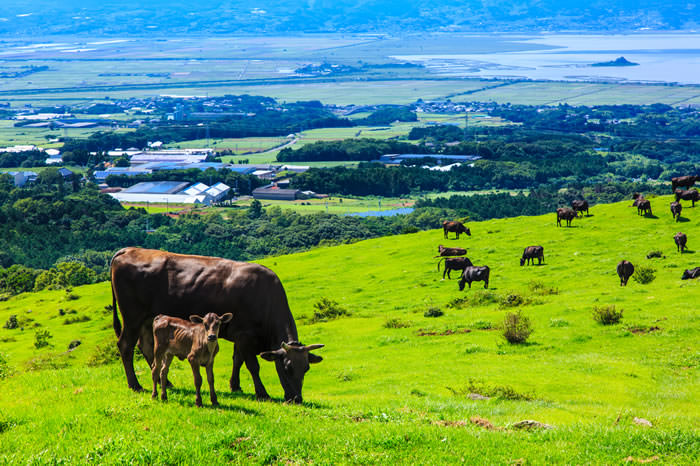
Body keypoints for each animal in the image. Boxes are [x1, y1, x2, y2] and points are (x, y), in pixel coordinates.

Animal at [110, 248, 324, 404]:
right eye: (287, 368)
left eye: (306, 368)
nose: (296, 399)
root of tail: (128, 250)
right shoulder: (246, 335)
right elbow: (252, 366)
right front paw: (262, 393)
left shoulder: (241, 337)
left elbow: (237, 360)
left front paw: (235, 386)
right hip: (132, 317)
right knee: (126, 346)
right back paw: (135, 385)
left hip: (148, 320)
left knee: (146, 347)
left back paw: (168, 383)